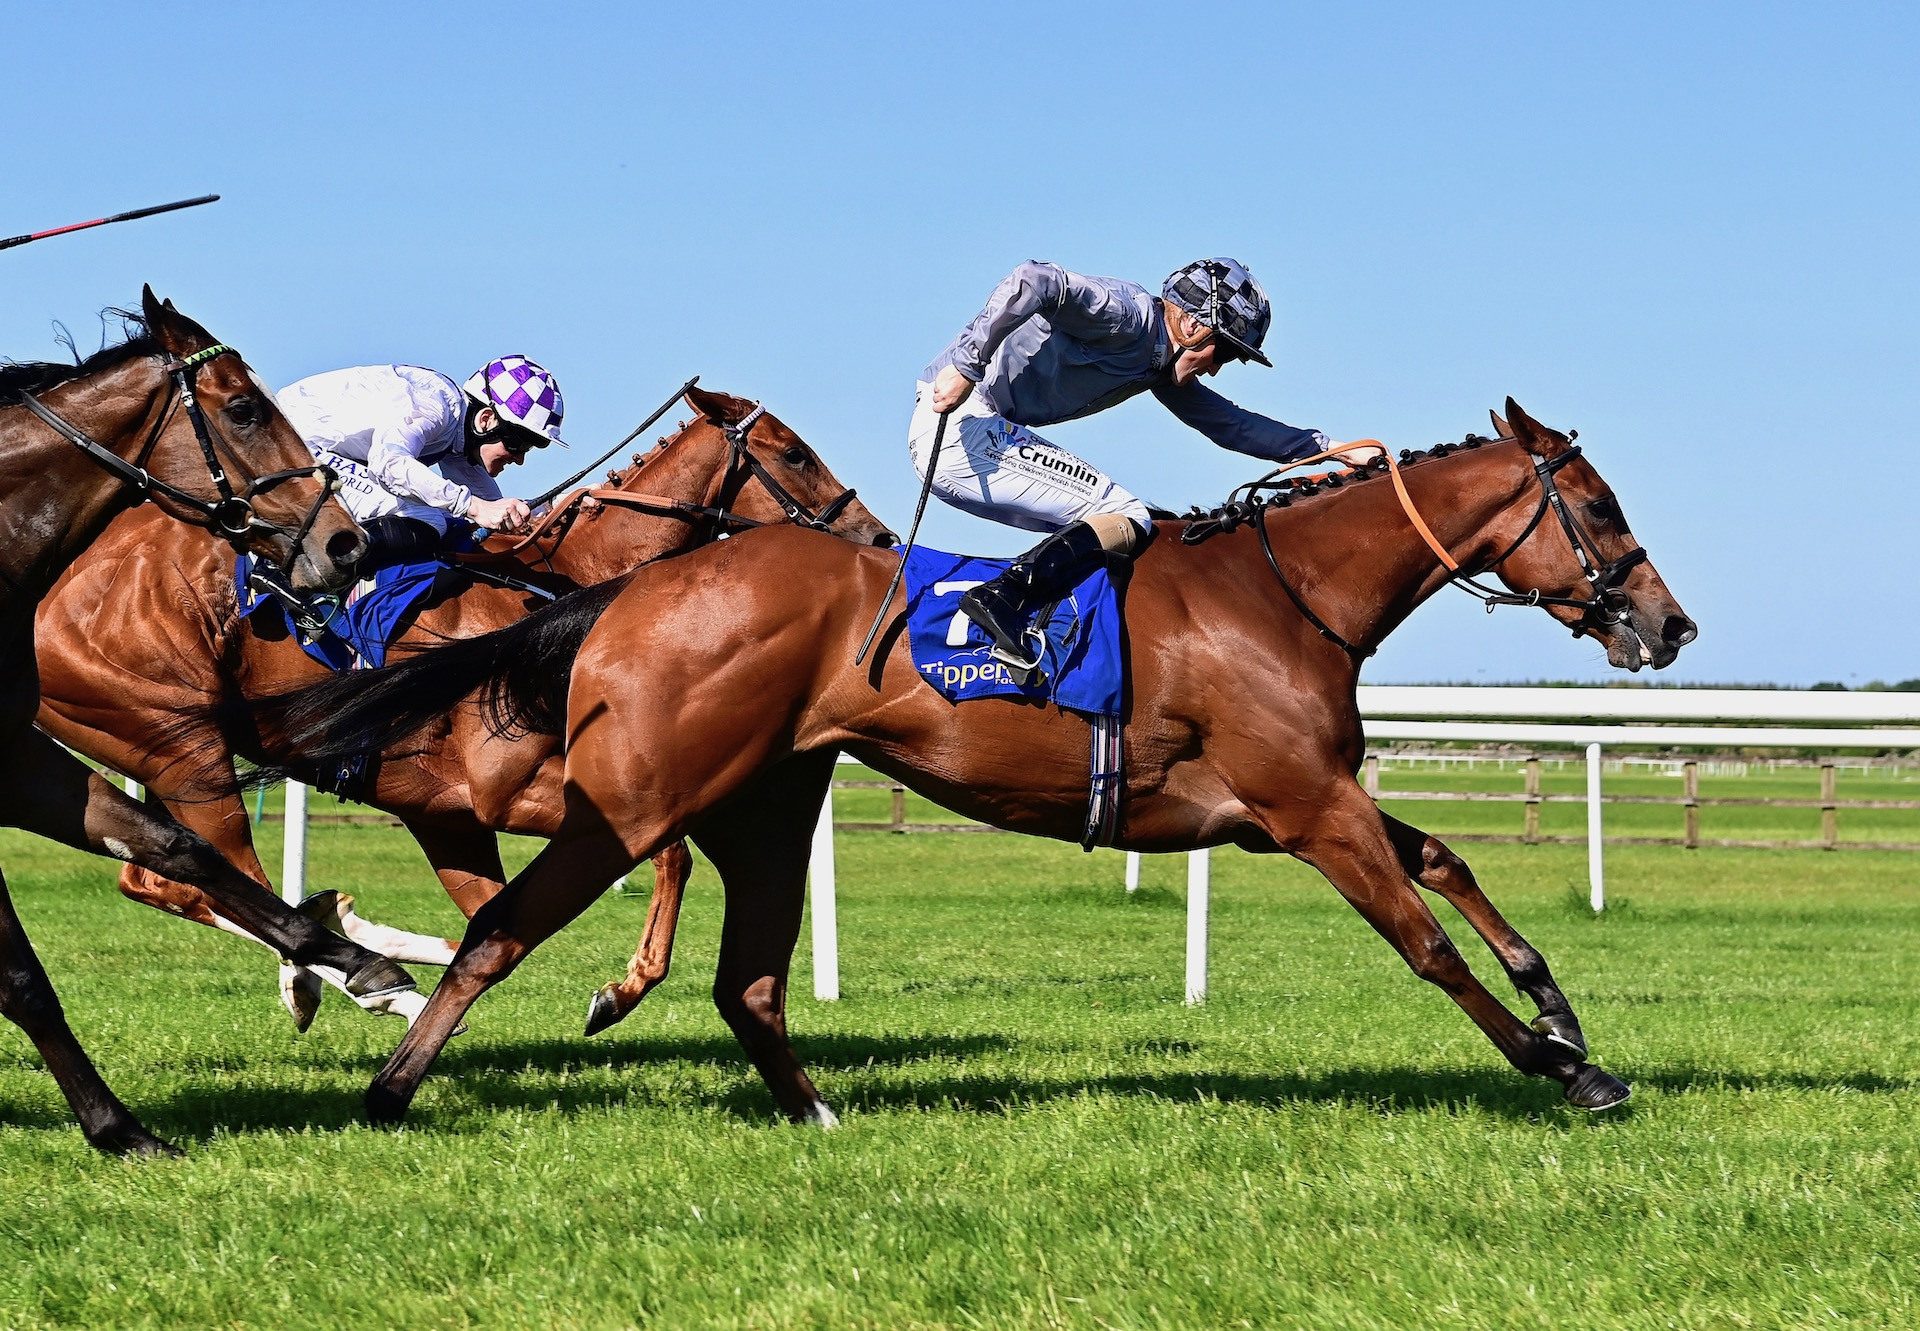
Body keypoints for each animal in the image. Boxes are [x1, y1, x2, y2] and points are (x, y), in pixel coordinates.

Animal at [33, 384, 894, 1029]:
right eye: (794, 453)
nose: (880, 536)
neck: (550, 593)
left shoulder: (445, 811)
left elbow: (490, 916)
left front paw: (371, 931)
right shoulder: (505, 791)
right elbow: (668, 852)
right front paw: (617, 991)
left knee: (164, 880)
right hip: (179, 745)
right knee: (208, 878)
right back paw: (327, 981)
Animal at [251, 397, 1697, 1121]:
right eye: (1600, 504)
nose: (1669, 621)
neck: (1288, 590)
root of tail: (627, 591)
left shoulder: (1299, 799)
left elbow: (1445, 859)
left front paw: (1561, 1011)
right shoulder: (1304, 804)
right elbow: (1426, 940)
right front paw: (1567, 1067)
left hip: (763, 803)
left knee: (744, 980)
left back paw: (817, 1113)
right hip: (637, 798)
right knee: (504, 925)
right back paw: (388, 1080)